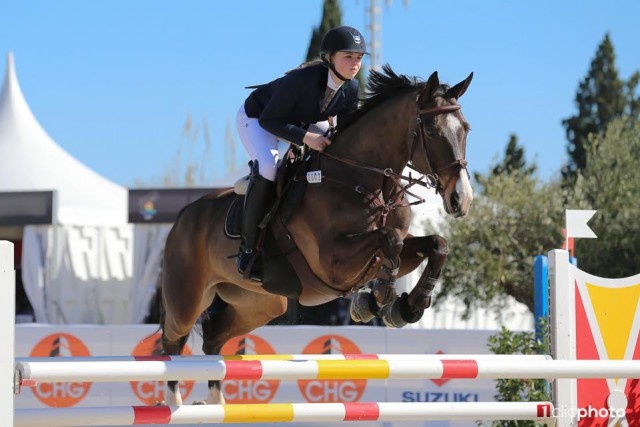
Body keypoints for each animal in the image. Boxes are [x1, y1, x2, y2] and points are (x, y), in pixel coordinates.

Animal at [159, 65, 470, 406]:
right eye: (432, 131)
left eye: (466, 129)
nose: (461, 199)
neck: (364, 181)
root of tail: (183, 217)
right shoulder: (332, 262)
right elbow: (390, 239)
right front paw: (378, 299)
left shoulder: (393, 252)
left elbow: (435, 244)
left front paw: (407, 306)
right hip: (187, 300)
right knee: (171, 343)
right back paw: (174, 405)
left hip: (260, 303)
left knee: (213, 337)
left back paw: (215, 404)